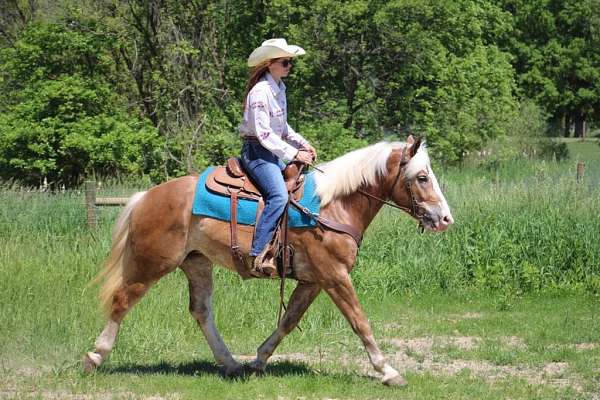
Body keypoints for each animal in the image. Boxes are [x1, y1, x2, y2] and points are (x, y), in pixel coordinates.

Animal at [82, 136, 452, 386]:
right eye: (422, 177)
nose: (445, 219)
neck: (332, 205)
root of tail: (147, 197)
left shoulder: (313, 279)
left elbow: (288, 320)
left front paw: (258, 360)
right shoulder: (334, 275)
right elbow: (360, 321)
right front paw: (388, 371)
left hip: (197, 263)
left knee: (201, 311)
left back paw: (231, 363)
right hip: (151, 264)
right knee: (122, 301)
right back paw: (95, 356)